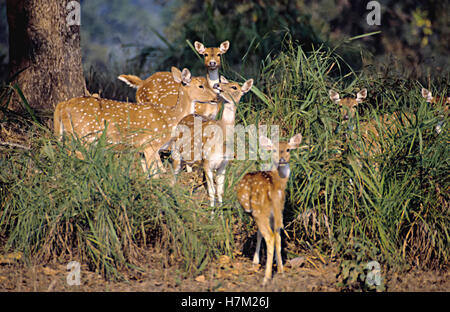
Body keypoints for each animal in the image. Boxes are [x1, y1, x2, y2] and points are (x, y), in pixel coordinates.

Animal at [53, 66, 219, 177]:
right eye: (201, 86)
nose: (216, 97)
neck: (172, 118)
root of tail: (63, 105)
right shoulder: (151, 144)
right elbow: (157, 173)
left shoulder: (144, 149)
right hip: (81, 135)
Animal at [171, 77, 253, 207]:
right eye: (224, 82)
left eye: (234, 87)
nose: (217, 85)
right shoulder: (207, 162)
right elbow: (211, 191)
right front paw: (212, 211)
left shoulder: (223, 165)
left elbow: (220, 191)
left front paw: (220, 210)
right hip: (175, 149)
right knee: (174, 172)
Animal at [236, 133, 302, 284]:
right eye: (274, 150)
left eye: (288, 149)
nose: (282, 159)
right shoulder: (275, 212)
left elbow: (259, 233)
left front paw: (255, 262)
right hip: (277, 210)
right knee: (277, 234)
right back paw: (281, 271)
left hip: (259, 211)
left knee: (270, 237)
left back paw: (266, 278)